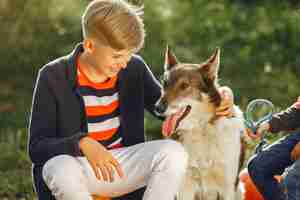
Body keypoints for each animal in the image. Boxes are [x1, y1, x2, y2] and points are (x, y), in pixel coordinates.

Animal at [156, 46, 245, 199]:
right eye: (165, 84)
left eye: (184, 85)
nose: (158, 108)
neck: (201, 129)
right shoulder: (185, 188)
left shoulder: (227, 187)